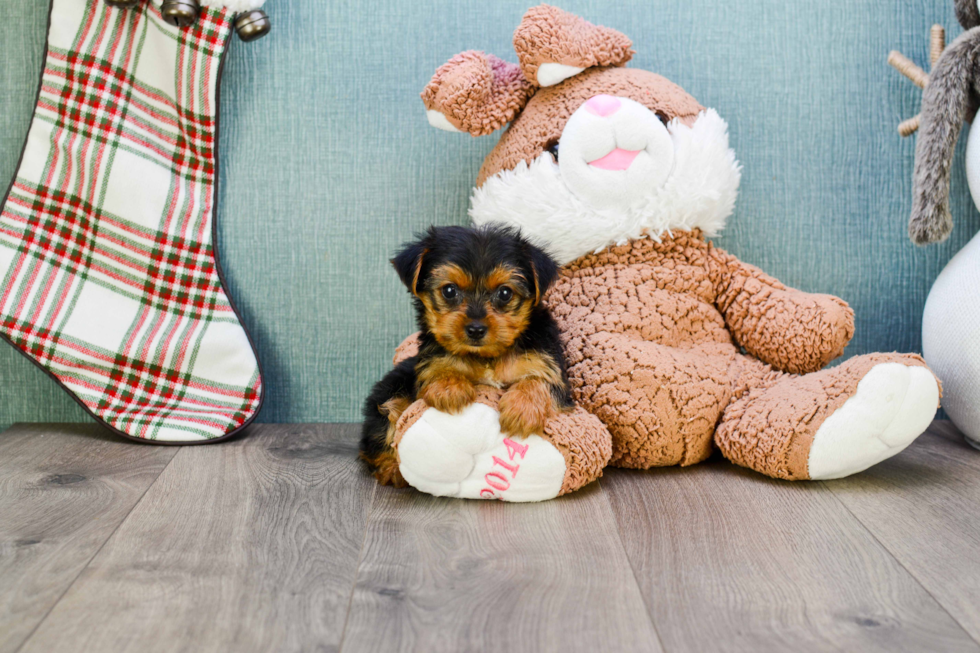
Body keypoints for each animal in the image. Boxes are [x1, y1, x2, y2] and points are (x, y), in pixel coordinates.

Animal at [364, 224, 572, 484]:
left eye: (505, 293)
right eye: (449, 290)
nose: (475, 329)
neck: (487, 356)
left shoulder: (550, 366)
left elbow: (540, 381)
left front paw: (522, 409)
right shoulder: (429, 359)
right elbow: (438, 367)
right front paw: (449, 388)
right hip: (390, 391)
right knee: (385, 423)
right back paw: (392, 468)